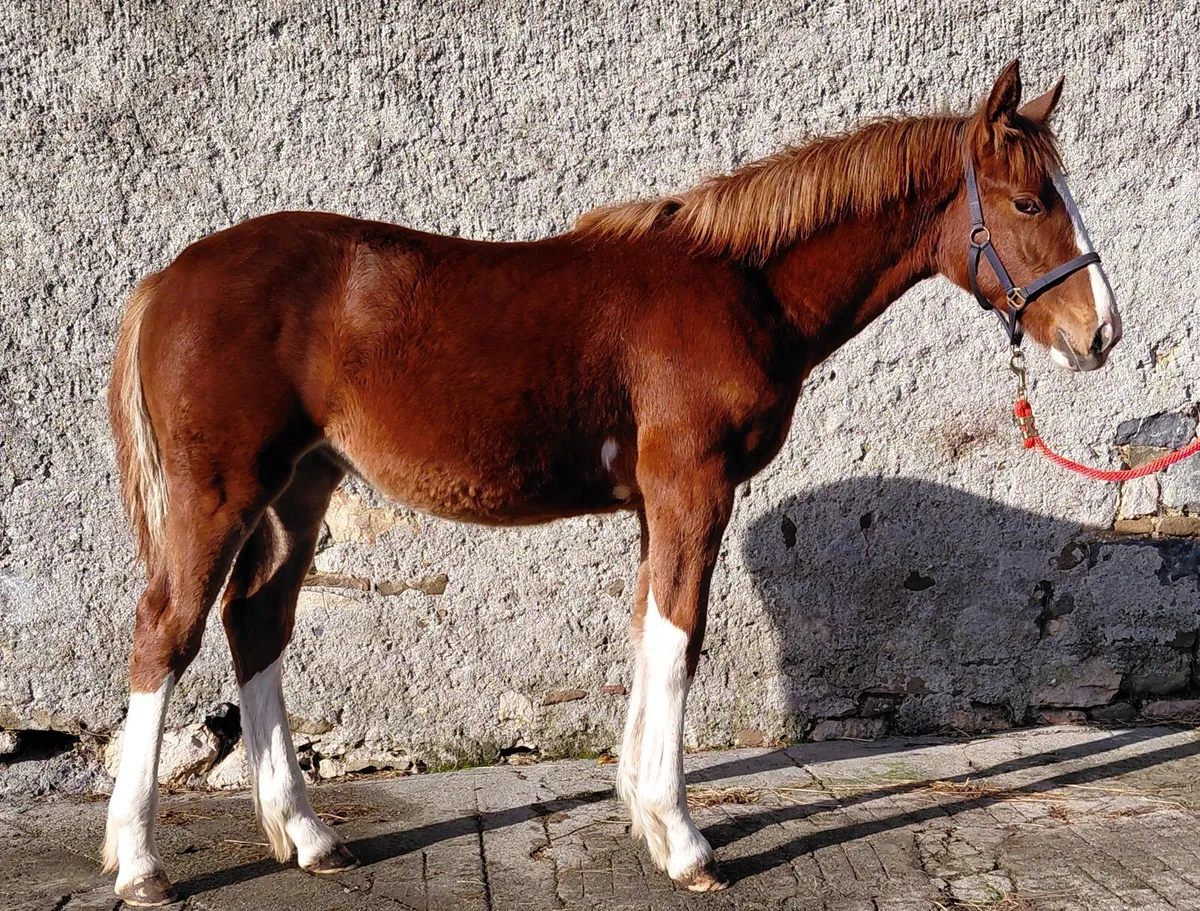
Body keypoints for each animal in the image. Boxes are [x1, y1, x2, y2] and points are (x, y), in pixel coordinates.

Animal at [102, 59, 1120, 904]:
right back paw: (142, 863)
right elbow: (680, 639)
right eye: (1030, 202)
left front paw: (641, 811)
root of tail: (166, 277)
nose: (1101, 332)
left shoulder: (654, 504)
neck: (739, 286)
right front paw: (683, 839)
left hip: (299, 488)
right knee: (167, 631)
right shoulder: (694, 489)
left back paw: (308, 835)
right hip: (222, 493)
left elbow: (647, 633)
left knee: (255, 622)